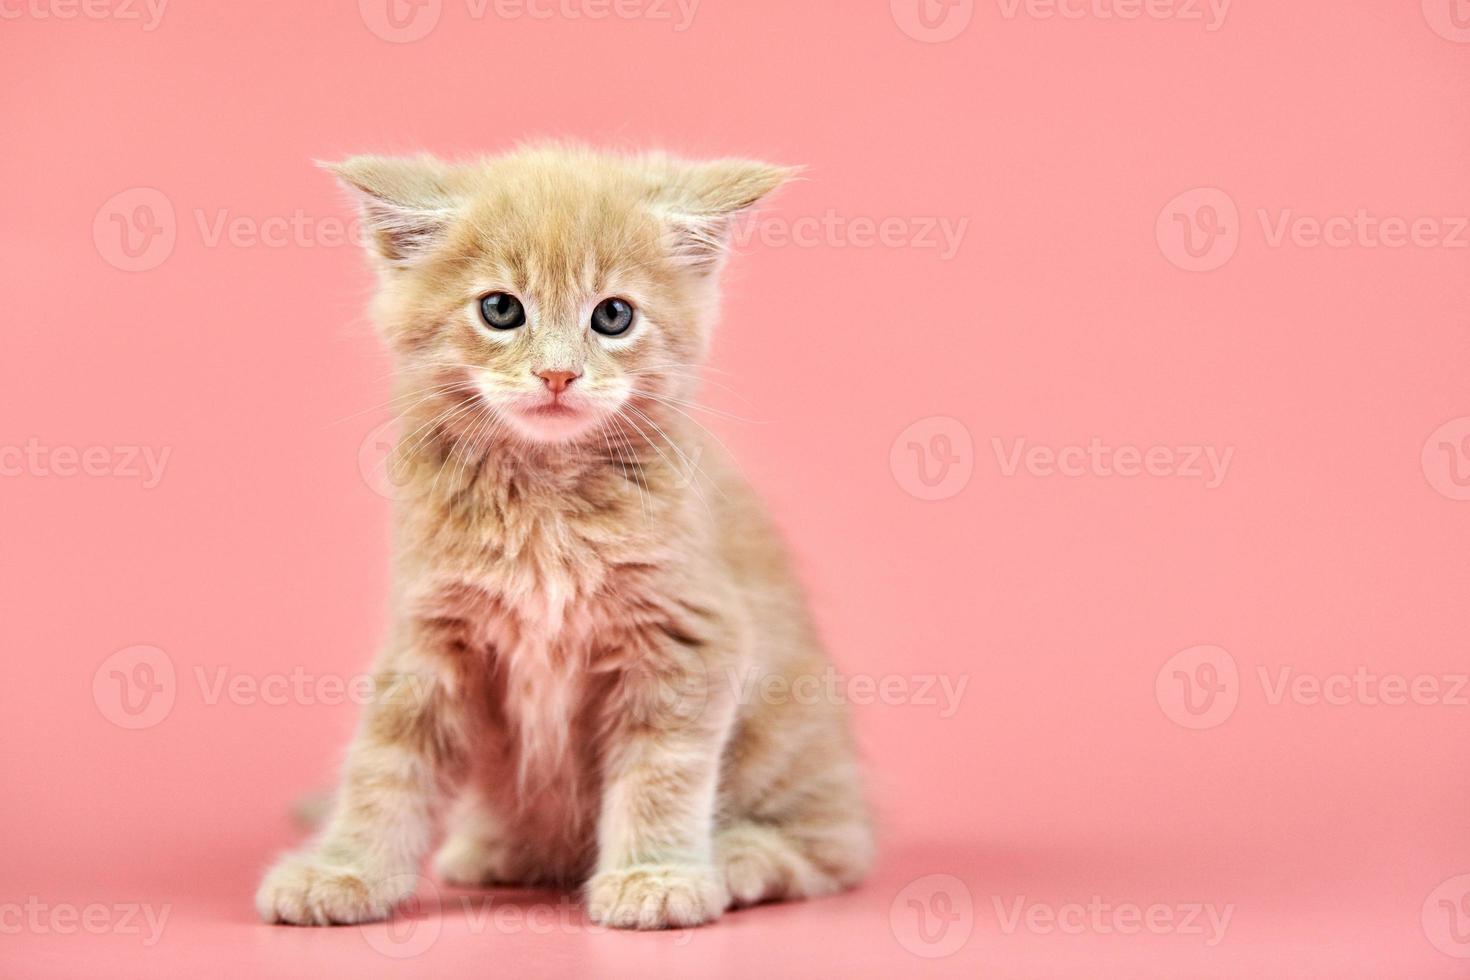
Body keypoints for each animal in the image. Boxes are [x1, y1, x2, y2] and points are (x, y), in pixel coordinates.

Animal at [255, 143, 870, 928]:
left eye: (613, 315)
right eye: (500, 310)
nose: (556, 373)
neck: (545, 498)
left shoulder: (688, 634)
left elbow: (662, 771)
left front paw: (654, 876)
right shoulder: (430, 634)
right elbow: (385, 766)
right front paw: (343, 869)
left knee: (835, 849)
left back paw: (738, 857)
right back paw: (496, 848)